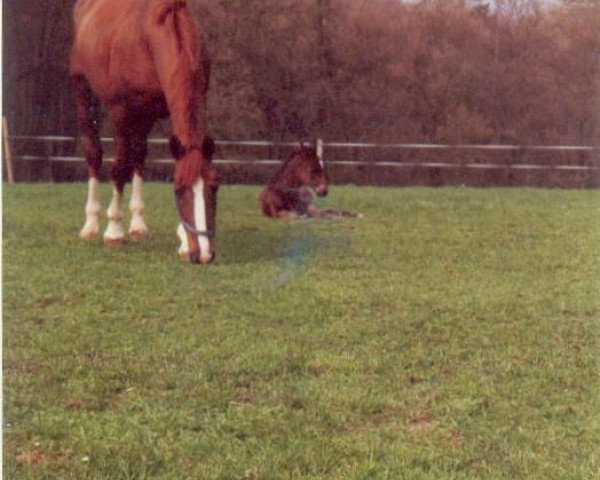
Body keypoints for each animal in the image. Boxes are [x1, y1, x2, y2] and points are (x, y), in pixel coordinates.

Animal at [70, 0, 219, 264]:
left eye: (214, 187)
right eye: (179, 190)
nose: (202, 254)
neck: (151, 36)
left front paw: (183, 241)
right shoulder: (121, 113)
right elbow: (119, 168)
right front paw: (114, 231)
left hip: (143, 117)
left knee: (139, 155)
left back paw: (138, 224)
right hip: (83, 93)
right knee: (94, 154)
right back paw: (91, 224)